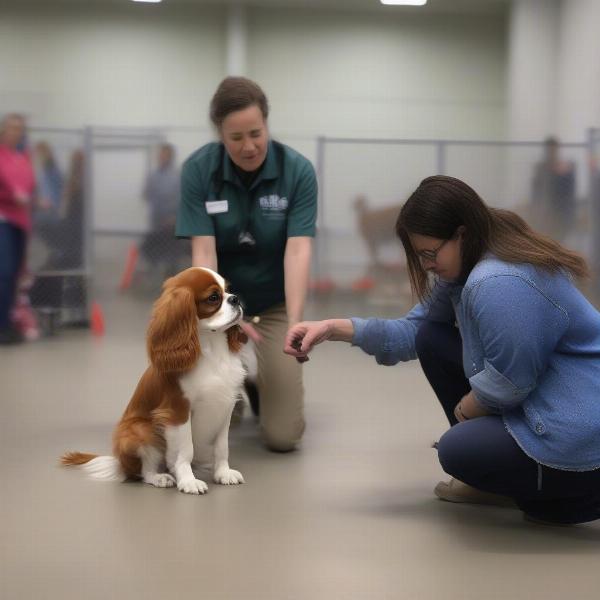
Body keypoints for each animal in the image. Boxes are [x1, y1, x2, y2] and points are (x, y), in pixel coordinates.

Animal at [61, 270, 248, 494]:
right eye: (213, 298)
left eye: (228, 289)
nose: (236, 299)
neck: (212, 349)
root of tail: (120, 464)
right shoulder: (177, 411)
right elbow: (186, 451)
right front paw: (188, 481)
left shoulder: (224, 406)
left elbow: (222, 447)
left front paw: (222, 473)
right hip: (140, 429)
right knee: (145, 472)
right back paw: (160, 477)